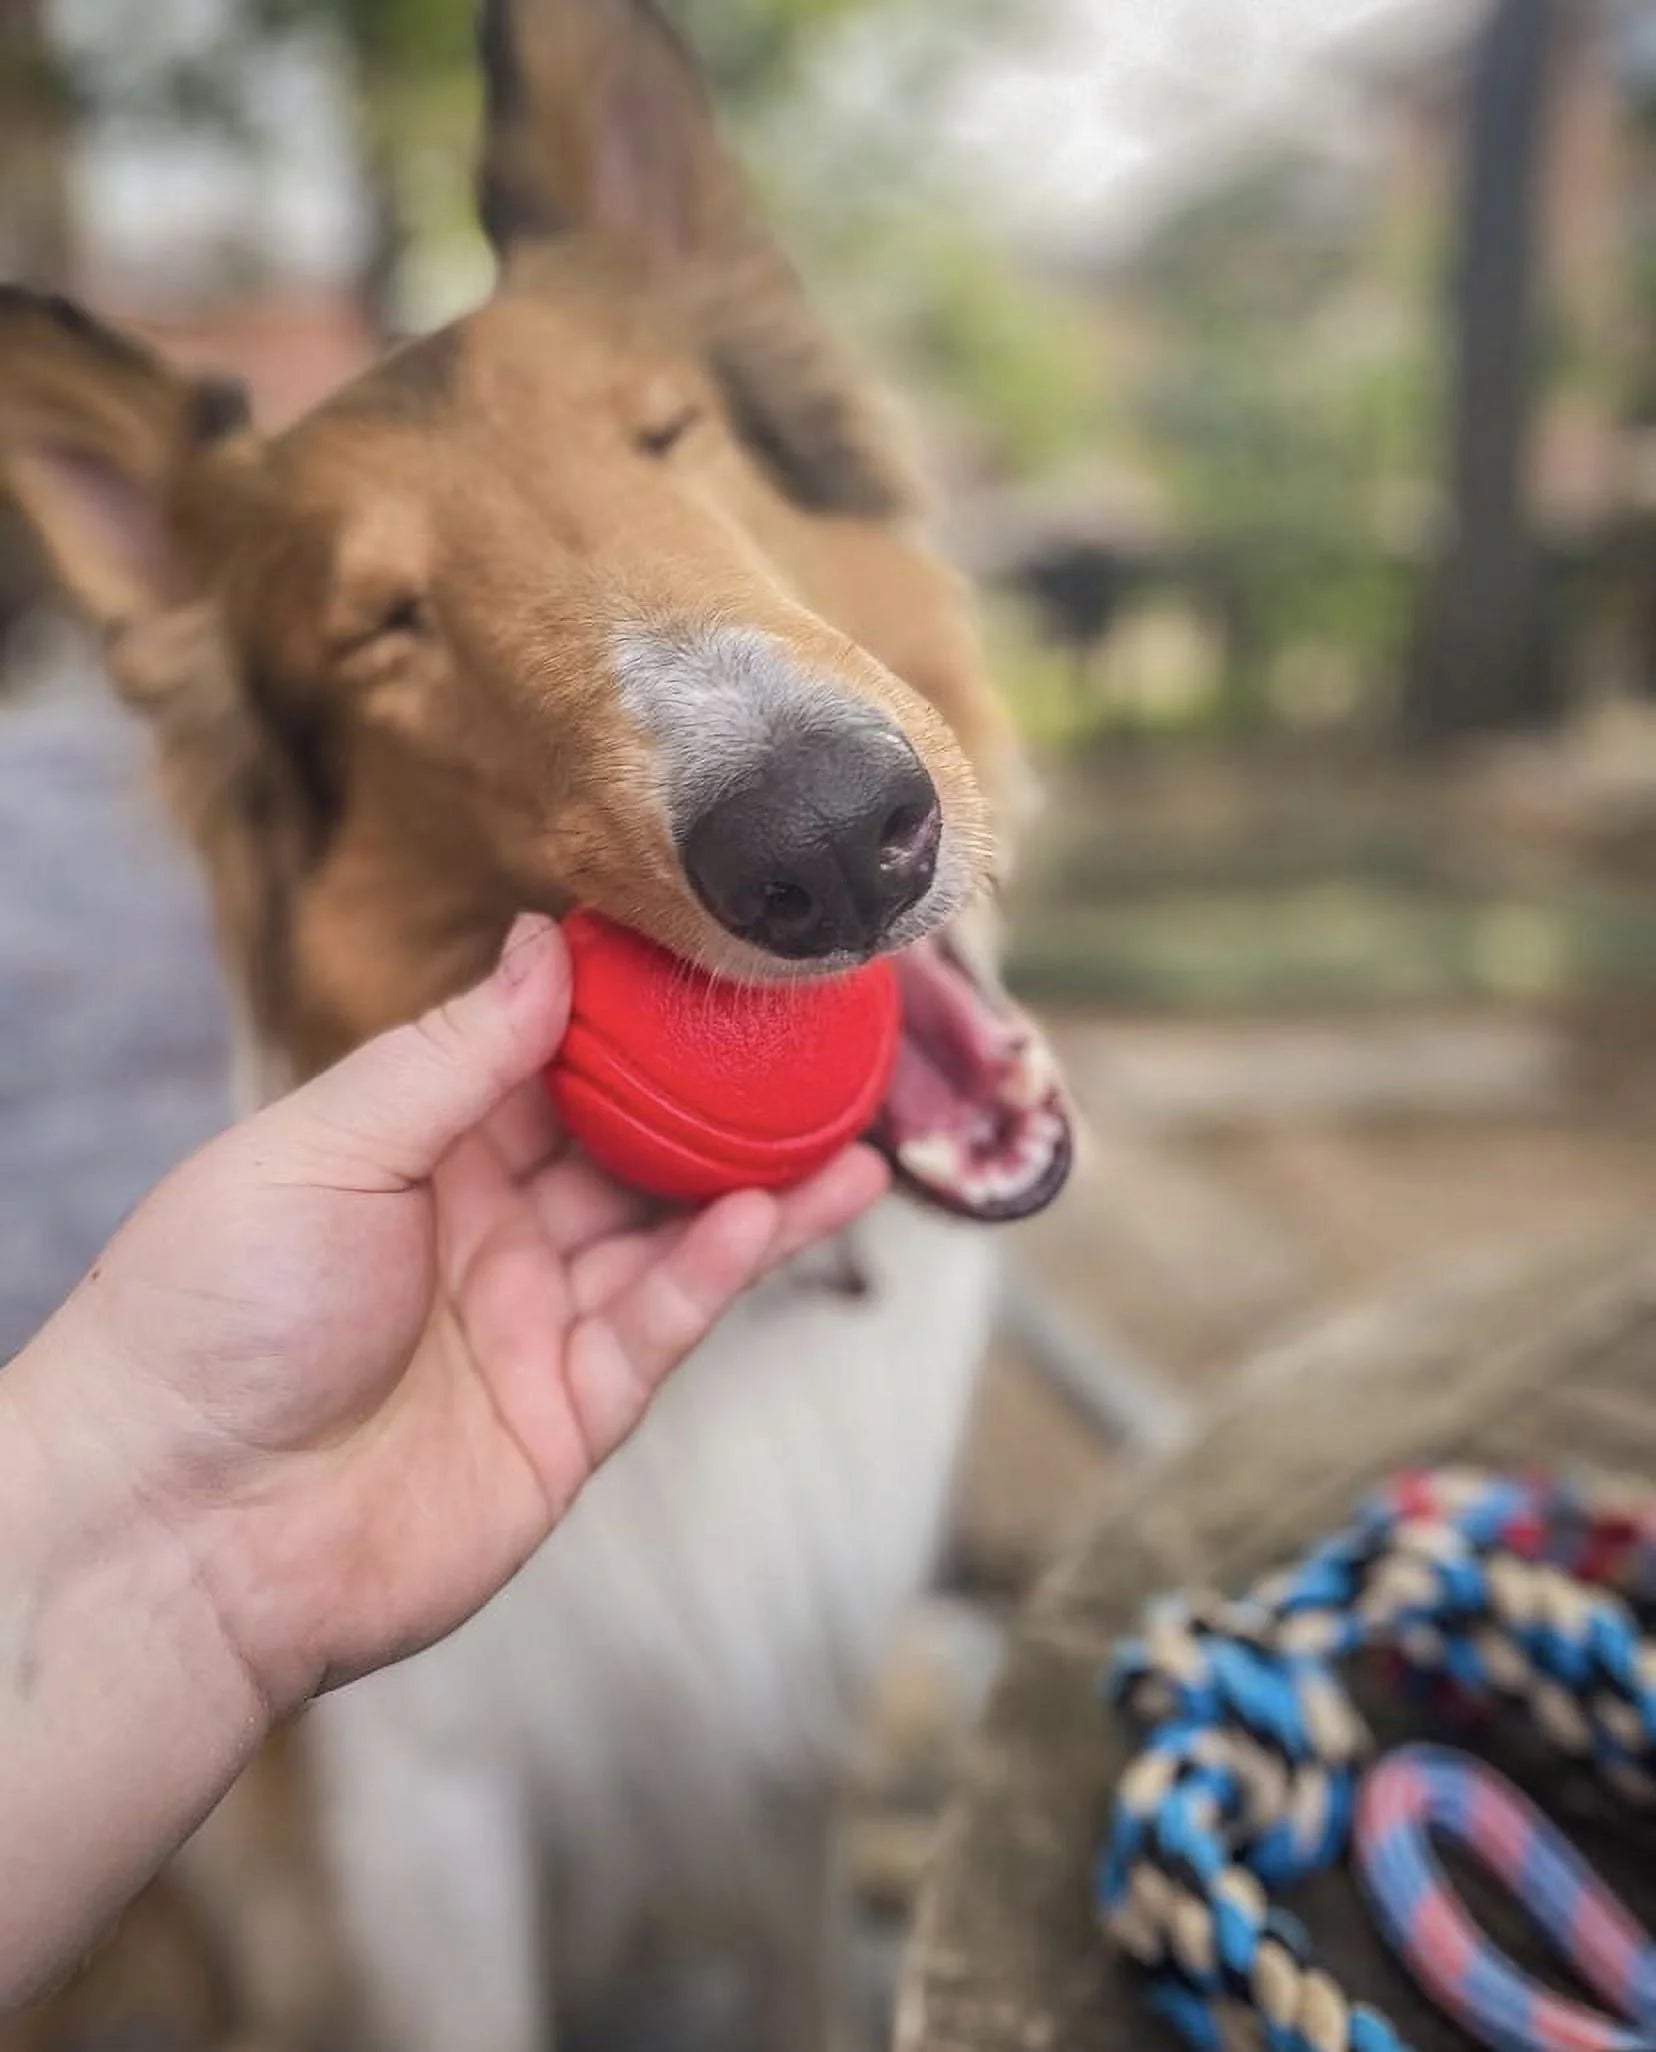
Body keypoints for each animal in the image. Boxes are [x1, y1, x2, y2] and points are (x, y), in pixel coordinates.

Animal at [0, 8, 1075, 2043]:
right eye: (386, 627)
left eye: (670, 433)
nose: (831, 840)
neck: (746, 1346)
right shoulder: (426, 1840)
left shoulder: (784, 1775)